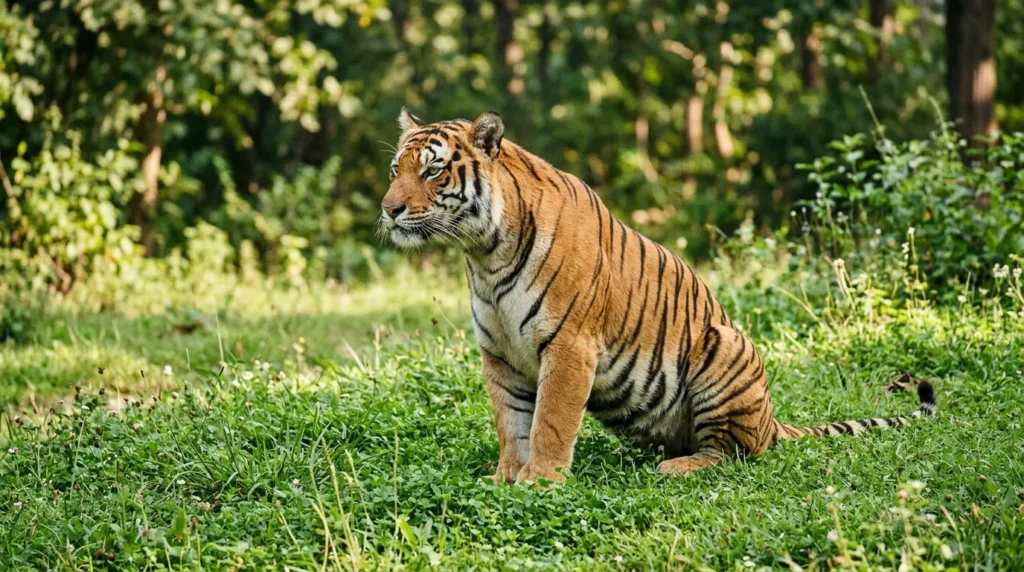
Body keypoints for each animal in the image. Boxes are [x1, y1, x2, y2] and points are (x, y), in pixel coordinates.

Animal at [380, 108, 936, 485]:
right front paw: (504, 480)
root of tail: (771, 421)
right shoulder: (499, 354)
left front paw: (539, 483)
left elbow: (550, 423)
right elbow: (511, 424)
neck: (485, 253)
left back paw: (677, 466)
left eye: (432, 170)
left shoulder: (568, 347)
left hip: (726, 347)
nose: (388, 210)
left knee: (734, 453)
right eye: (394, 171)